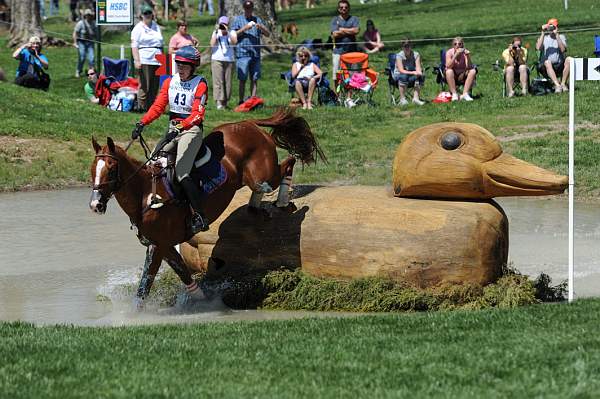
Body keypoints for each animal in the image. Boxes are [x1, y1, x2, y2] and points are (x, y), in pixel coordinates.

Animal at [90, 108, 324, 308]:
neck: (145, 194)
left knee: (287, 163)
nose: (96, 205)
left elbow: (144, 285)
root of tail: (249, 123)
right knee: (265, 186)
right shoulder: (164, 246)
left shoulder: (158, 245)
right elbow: (183, 274)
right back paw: (256, 208)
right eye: (93, 169)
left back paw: (282, 201)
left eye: (111, 168)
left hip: (264, 173)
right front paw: (203, 300)